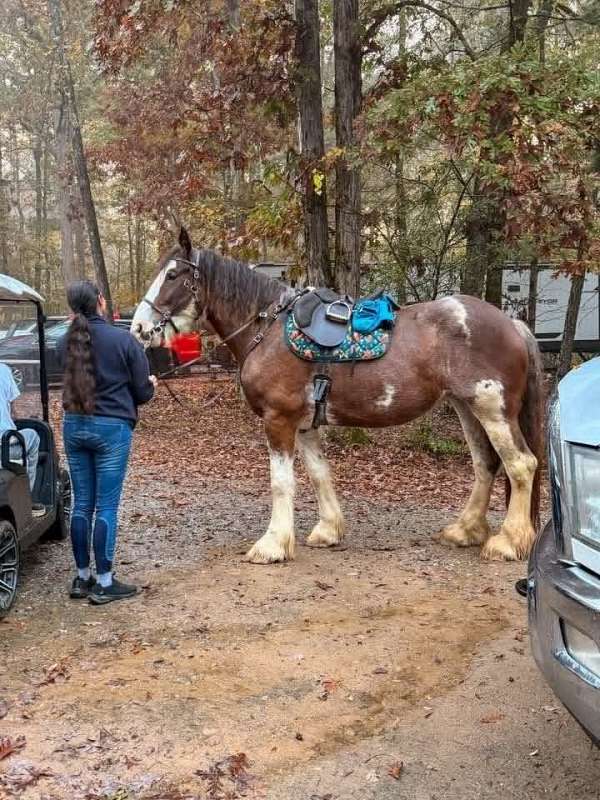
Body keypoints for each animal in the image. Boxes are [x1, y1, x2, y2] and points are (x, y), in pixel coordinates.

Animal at [131, 227, 543, 565]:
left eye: (172, 275)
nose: (138, 327)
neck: (269, 331)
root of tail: (511, 323)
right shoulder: (303, 424)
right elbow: (319, 474)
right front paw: (328, 530)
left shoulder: (278, 419)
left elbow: (281, 482)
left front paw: (272, 545)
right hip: (466, 407)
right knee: (486, 464)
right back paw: (465, 530)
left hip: (493, 410)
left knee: (521, 464)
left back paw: (507, 542)